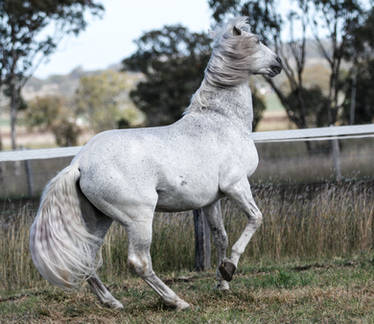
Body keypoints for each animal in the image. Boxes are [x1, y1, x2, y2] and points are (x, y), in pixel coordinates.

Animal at [29, 16, 280, 310]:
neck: (222, 120)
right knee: (139, 262)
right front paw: (229, 269)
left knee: (87, 259)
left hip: (99, 219)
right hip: (139, 219)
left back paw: (113, 303)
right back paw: (177, 301)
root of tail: (80, 163)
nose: (278, 63)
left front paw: (222, 282)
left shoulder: (211, 200)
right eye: (258, 40)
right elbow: (255, 219)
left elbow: (221, 236)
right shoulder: (237, 185)